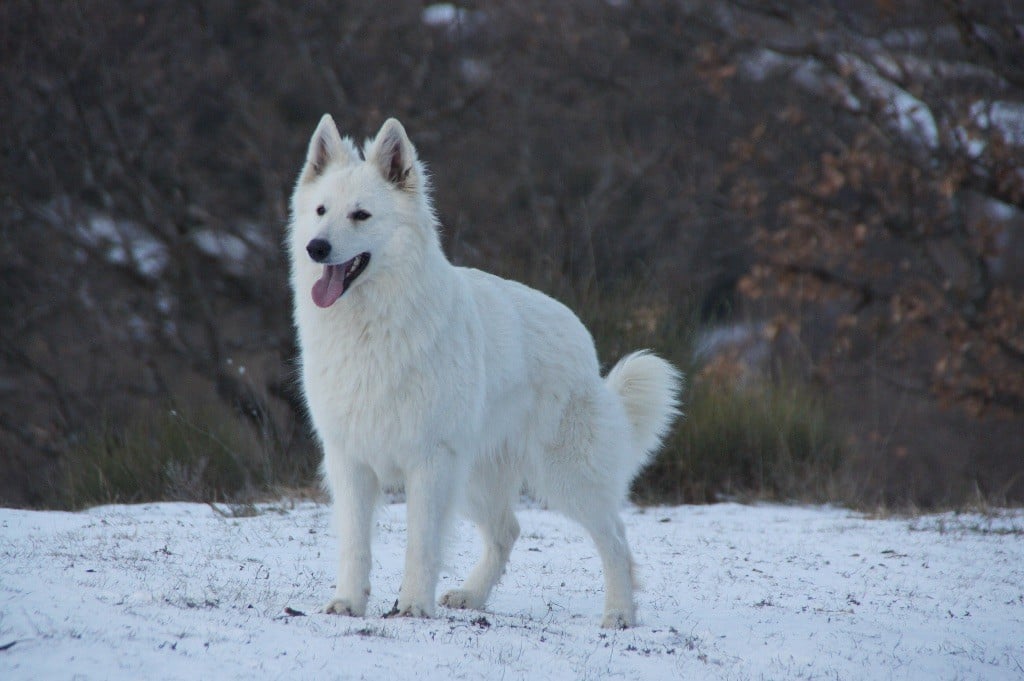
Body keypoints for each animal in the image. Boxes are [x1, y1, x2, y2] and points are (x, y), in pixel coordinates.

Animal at [288, 115, 679, 626]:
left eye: (360, 215)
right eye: (320, 210)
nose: (316, 248)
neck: (372, 328)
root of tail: (583, 339)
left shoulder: (430, 462)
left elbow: (421, 545)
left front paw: (412, 606)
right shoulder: (349, 462)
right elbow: (355, 544)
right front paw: (348, 603)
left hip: (563, 477)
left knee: (614, 539)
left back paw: (619, 614)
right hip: (475, 478)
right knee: (507, 531)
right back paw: (472, 596)